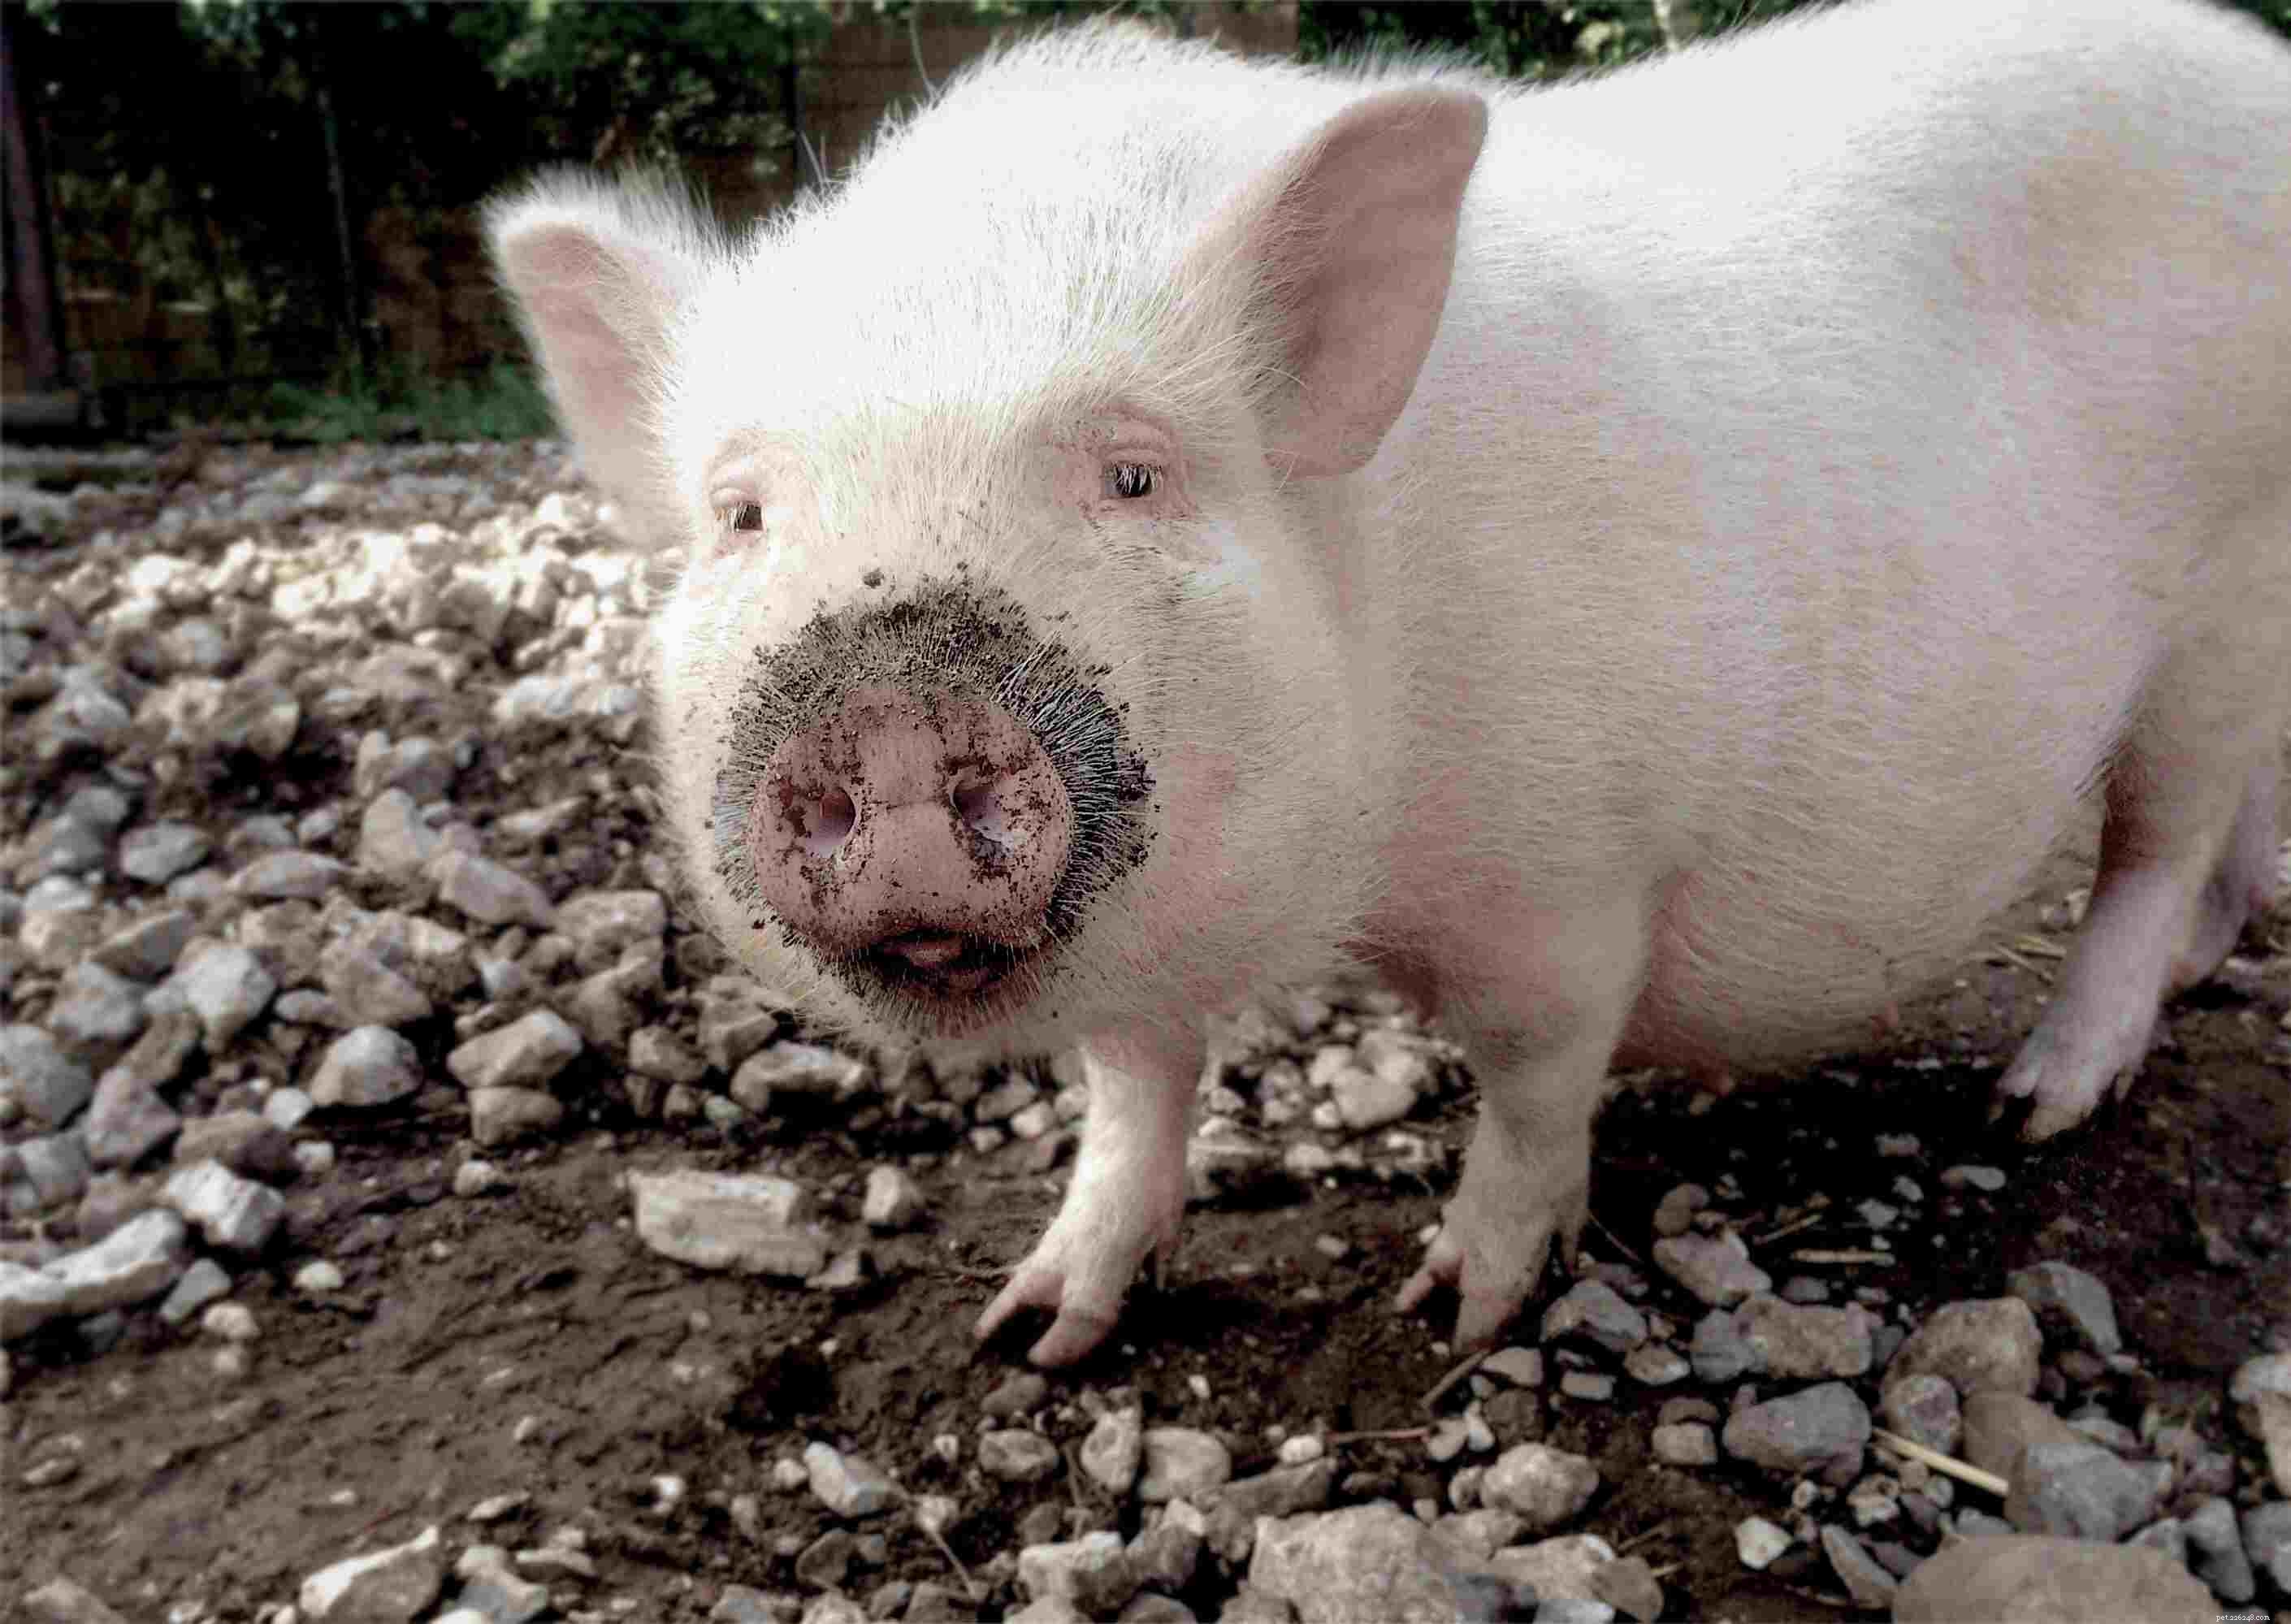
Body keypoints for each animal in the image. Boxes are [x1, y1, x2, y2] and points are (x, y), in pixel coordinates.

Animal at [488, 0, 2291, 1367]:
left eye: (1134, 474)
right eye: (742, 512)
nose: (887, 711)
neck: (1349, 888)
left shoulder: (1574, 869)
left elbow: (1536, 1077)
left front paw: (1462, 1316)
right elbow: (1133, 1084)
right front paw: (1032, 1330)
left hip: (2225, 613)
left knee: (2155, 845)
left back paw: (2033, 1104)